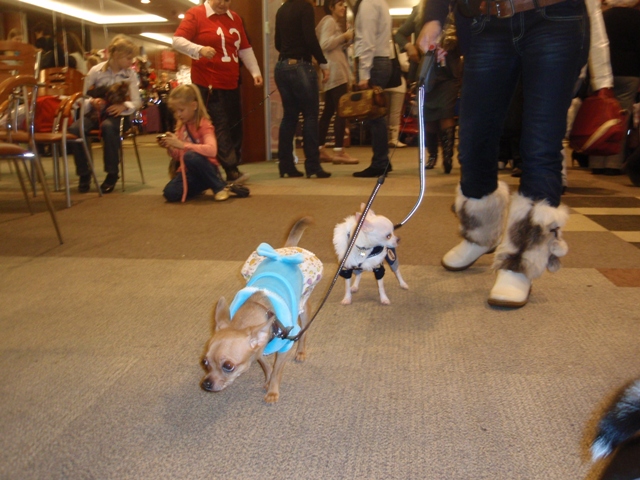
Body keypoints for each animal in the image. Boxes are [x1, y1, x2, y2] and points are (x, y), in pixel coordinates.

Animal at [201, 218, 322, 403]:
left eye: (228, 366)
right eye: (205, 362)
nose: (206, 383)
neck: (258, 308)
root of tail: (285, 252)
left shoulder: (285, 347)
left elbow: (277, 370)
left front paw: (272, 390)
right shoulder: (258, 350)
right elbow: (266, 366)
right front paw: (267, 379)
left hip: (304, 307)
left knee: (304, 331)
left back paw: (301, 351)